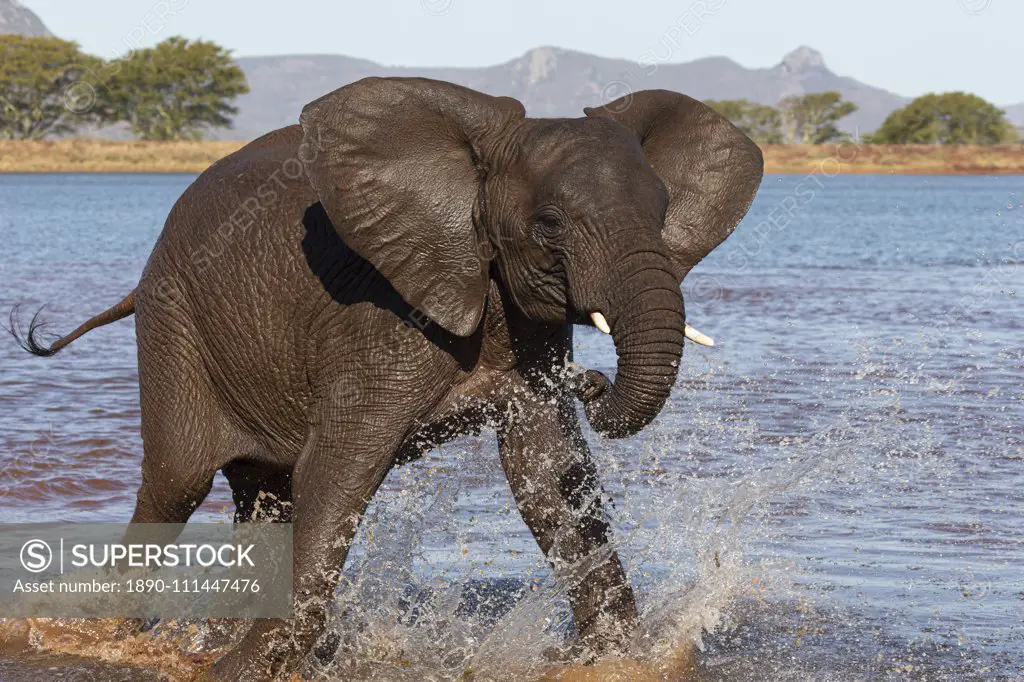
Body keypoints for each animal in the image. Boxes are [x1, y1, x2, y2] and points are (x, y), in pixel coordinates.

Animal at [8, 76, 761, 675]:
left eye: (663, 215)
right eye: (549, 224)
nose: (593, 383)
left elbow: (548, 477)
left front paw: (614, 659)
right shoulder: (377, 318)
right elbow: (336, 472)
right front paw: (243, 670)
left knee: (267, 496)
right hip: (174, 325)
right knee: (176, 483)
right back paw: (117, 636)